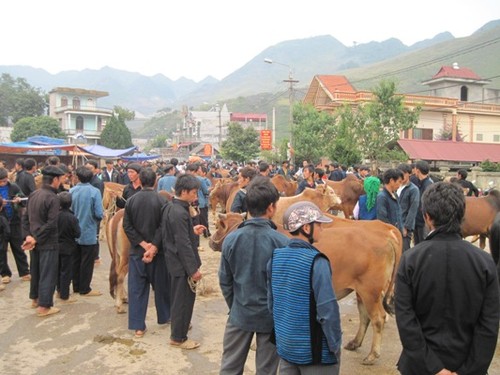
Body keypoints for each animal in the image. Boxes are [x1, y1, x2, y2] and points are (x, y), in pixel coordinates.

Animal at [210, 213, 402, 366]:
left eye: (218, 227)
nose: (211, 241)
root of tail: (386, 233)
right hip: (362, 292)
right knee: (364, 316)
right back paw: (355, 343)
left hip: (371, 292)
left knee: (378, 319)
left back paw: (372, 355)